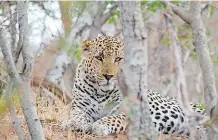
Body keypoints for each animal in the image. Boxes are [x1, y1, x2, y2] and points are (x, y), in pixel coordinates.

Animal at [61, 35, 204, 137]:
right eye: (99, 58)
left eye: (118, 59)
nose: (108, 76)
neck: (100, 92)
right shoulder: (79, 107)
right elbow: (77, 116)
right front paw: (72, 123)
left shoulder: (131, 109)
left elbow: (114, 117)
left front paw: (99, 126)